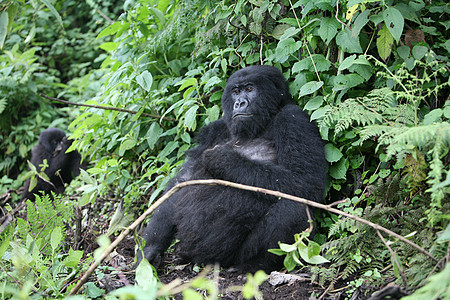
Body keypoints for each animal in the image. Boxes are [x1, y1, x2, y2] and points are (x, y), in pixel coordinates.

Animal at [137, 66, 326, 272]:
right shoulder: (215, 129)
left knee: (294, 208)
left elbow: (306, 182)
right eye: (236, 91)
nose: (240, 103)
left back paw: (254, 265)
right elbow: (182, 182)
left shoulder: (293, 118)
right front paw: (150, 248)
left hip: (234, 257)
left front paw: (223, 159)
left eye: (250, 89)